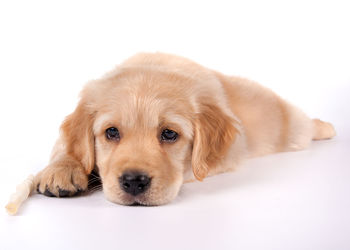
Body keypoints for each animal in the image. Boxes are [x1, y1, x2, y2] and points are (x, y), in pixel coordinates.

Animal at [33, 52, 336, 205]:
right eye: (111, 132)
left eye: (169, 134)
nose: (133, 182)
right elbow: (65, 144)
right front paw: (63, 169)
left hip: (290, 127)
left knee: (304, 125)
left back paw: (326, 127)